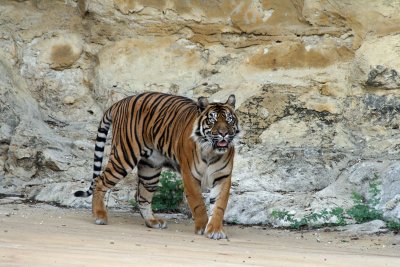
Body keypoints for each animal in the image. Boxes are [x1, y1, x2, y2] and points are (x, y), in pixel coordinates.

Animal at [73, 92, 239, 241]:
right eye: (212, 120)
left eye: (229, 120)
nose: (224, 133)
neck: (211, 151)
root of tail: (121, 102)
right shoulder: (190, 176)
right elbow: (198, 204)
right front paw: (203, 227)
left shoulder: (223, 177)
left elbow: (218, 206)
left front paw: (215, 230)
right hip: (124, 157)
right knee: (99, 181)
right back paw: (99, 215)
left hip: (150, 169)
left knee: (142, 196)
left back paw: (152, 222)